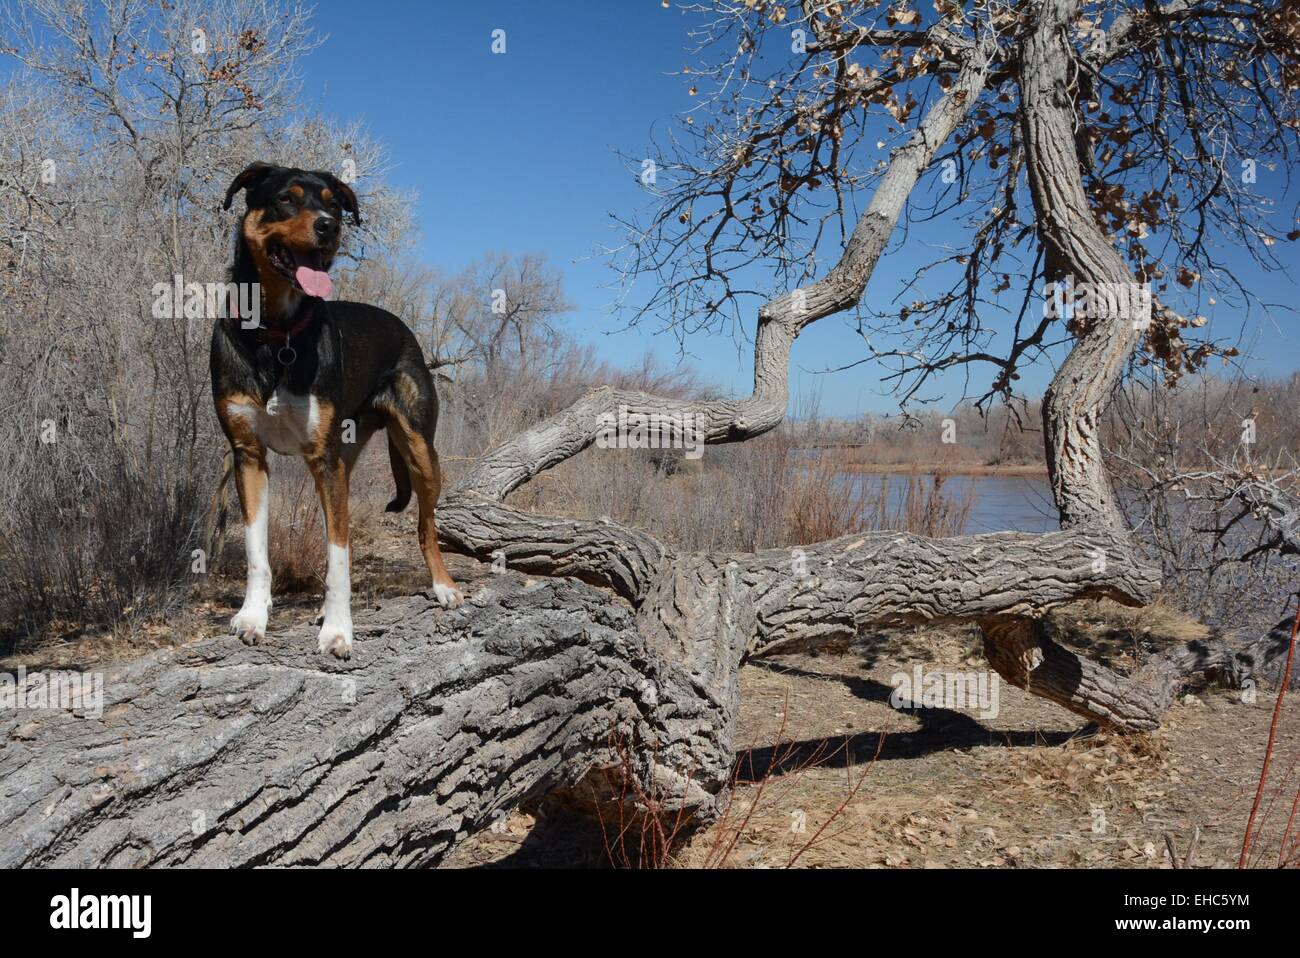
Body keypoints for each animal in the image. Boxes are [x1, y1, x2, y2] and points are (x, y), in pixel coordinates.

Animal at [210, 162, 460, 657]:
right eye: (286, 198)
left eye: (334, 204)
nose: (329, 226)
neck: (277, 334)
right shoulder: (248, 455)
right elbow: (255, 550)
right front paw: (253, 616)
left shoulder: (324, 462)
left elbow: (338, 556)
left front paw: (339, 630)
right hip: (349, 453)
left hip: (421, 451)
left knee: (425, 526)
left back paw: (442, 586)